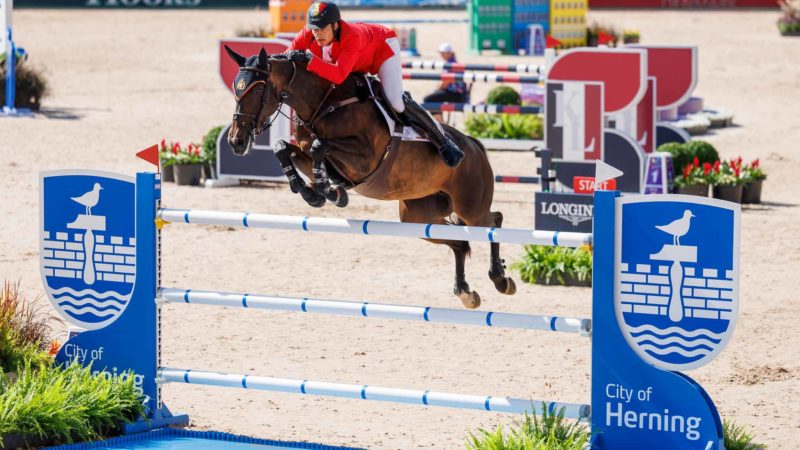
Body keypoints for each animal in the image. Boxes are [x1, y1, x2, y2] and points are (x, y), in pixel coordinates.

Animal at [223, 47, 520, 312]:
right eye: (236, 90)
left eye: (257, 90)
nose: (236, 141)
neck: (323, 105)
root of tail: (473, 145)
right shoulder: (309, 153)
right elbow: (282, 147)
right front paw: (315, 192)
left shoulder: (364, 159)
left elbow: (319, 146)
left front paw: (328, 191)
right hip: (418, 218)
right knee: (459, 241)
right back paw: (466, 293)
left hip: (470, 206)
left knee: (494, 220)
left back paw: (501, 279)